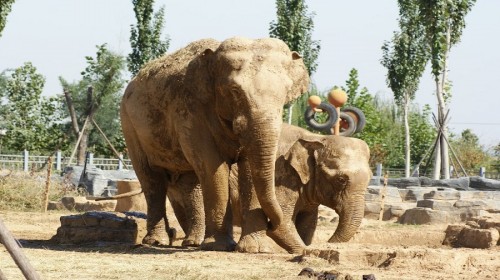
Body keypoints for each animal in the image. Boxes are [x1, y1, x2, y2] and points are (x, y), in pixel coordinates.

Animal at [121, 36, 308, 250]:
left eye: (286, 92)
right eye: (235, 91)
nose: (271, 225)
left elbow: (248, 167)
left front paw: (255, 249)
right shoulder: (191, 111)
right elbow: (213, 167)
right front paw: (220, 246)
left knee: (189, 182)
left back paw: (192, 242)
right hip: (129, 125)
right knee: (152, 179)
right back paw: (156, 241)